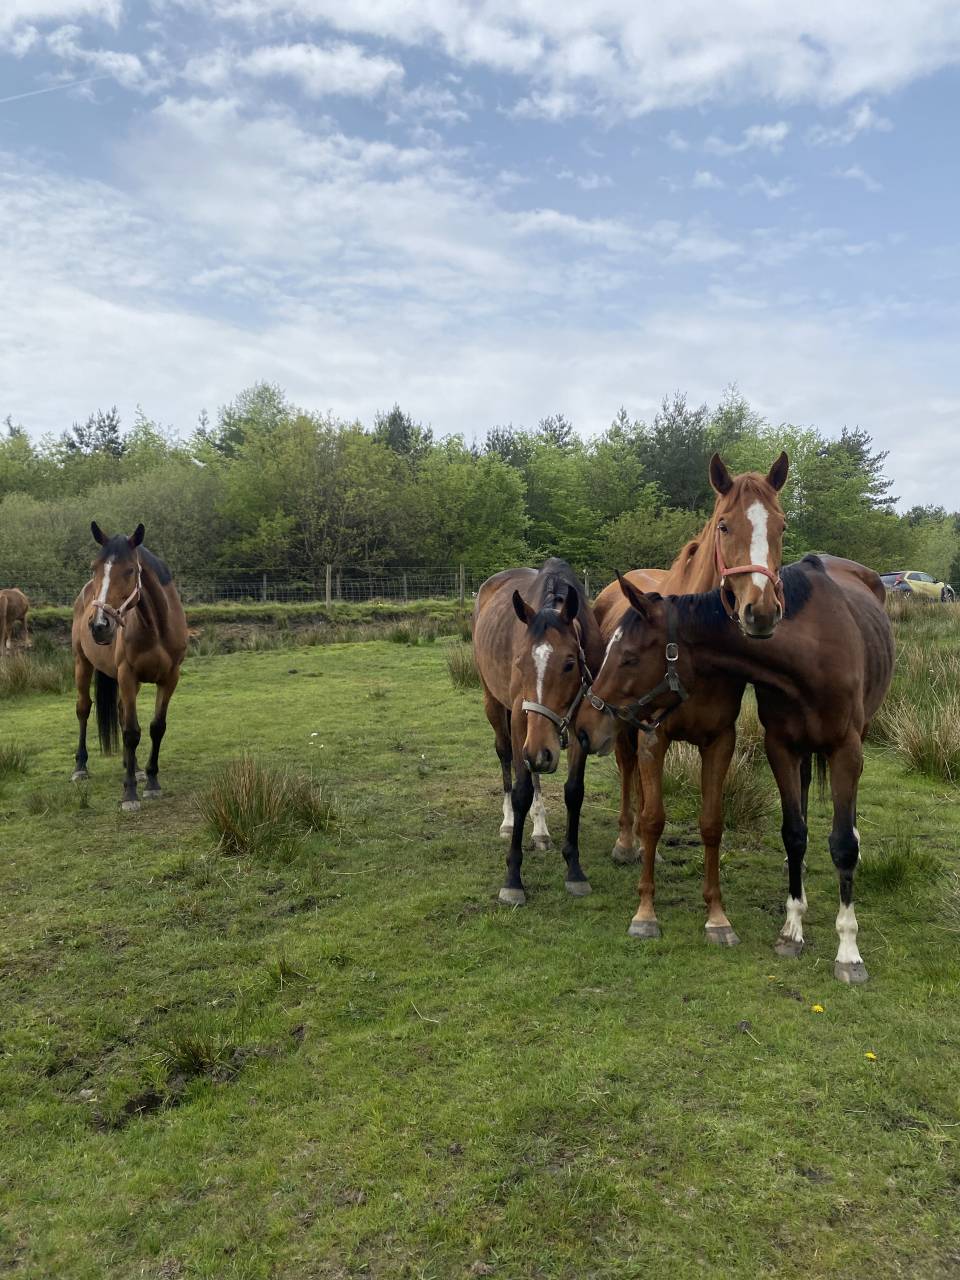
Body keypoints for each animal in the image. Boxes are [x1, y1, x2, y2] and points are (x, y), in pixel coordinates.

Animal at [71, 522, 188, 811]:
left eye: (130, 570)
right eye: (94, 567)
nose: (99, 625)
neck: (156, 627)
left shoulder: (170, 678)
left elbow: (156, 727)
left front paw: (152, 781)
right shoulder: (127, 674)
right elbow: (132, 732)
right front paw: (130, 794)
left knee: (122, 713)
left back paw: (132, 767)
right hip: (82, 663)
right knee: (83, 709)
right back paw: (80, 767)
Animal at [472, 558, 604, 905]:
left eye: (570, 663)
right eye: (519, 662)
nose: (540, 752)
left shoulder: (579, 719)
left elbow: (574, 791)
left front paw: (574, 868)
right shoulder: (521, 717)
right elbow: (521, 792)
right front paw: (513, 879)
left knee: (534, 773)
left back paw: (541, 830)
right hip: (495, 705)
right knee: (507, 757)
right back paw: (508, 822)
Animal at [578, 555, 895, 984]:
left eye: (629, 657)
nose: (583, 726)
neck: (811, 653)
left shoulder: (846, 750)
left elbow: (843, 844)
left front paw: (848, 951)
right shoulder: (780, 746)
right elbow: (793, 833)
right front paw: (792, 929)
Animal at [593, 453, 790, 867]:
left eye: (782, 526)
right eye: (724, 526)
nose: (762, 611)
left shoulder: (719, 740)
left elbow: (708, 819)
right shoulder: (654, 734)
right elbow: (652, 810)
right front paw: (634, 843)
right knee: (627, 769)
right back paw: (626, 841)